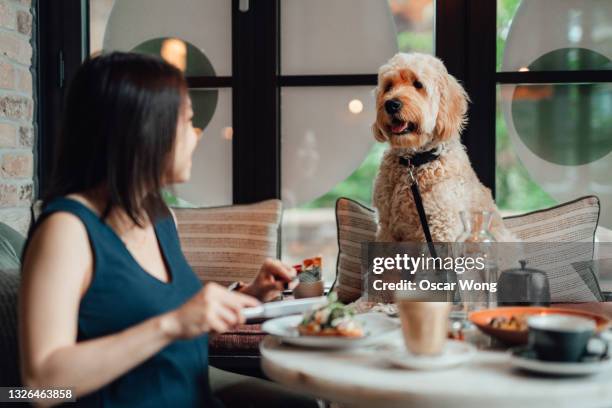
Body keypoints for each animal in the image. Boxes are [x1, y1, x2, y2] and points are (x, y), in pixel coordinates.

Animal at [372, 51, 512, 242]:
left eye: (418, 84)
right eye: (389, 86)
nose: (391, 104)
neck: (414, 162)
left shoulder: (441, 226)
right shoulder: (387, 227)